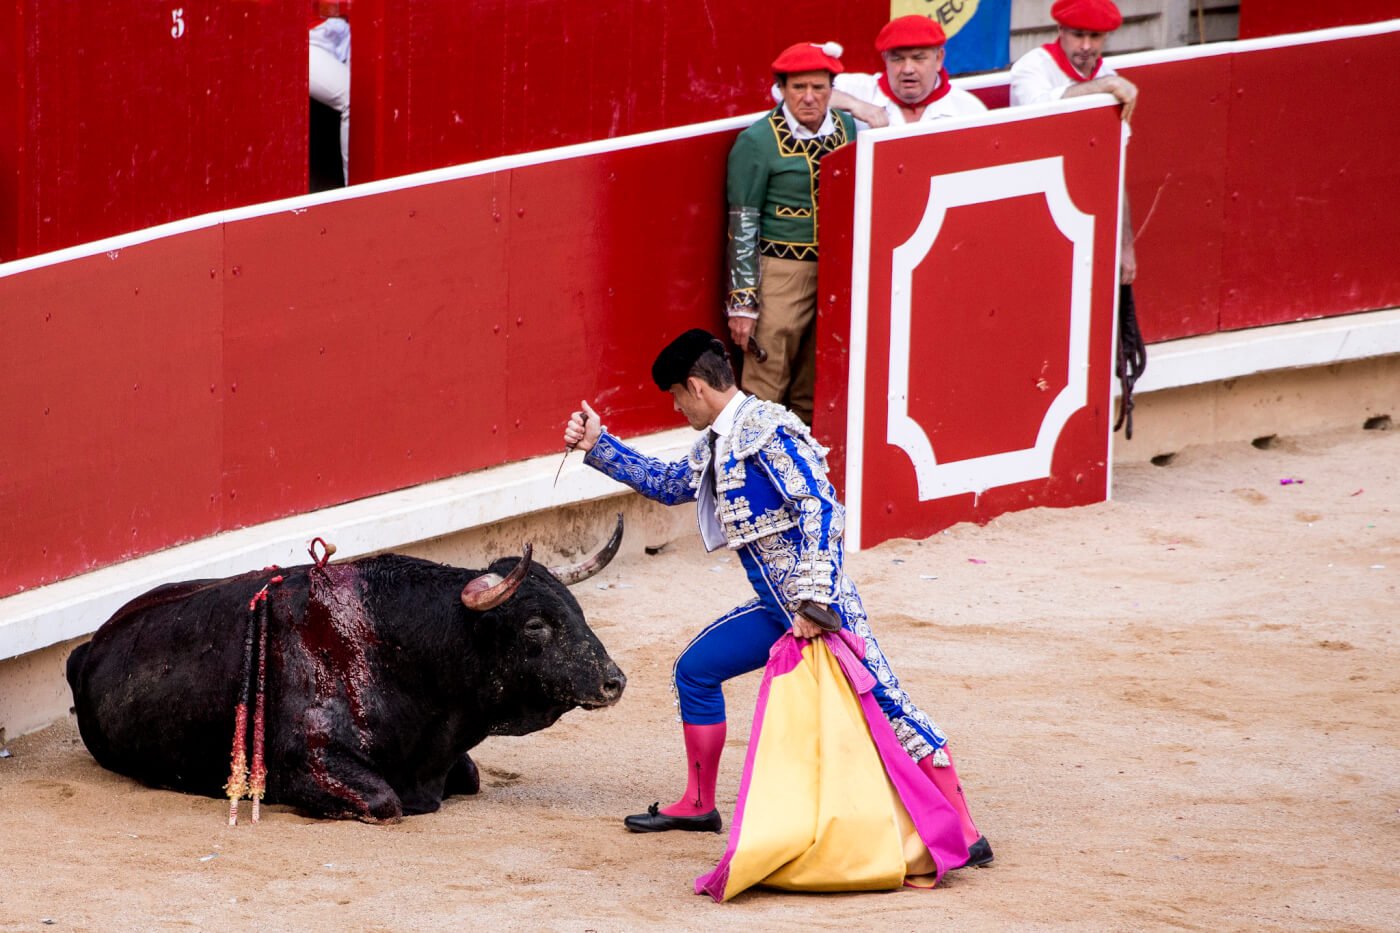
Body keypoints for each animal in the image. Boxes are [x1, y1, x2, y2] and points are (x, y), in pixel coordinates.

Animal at [68, 515, 627, 823]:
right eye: (535, 625)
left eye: (576, 610)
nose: (614, 681)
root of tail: (87, 649)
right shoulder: (311, 761)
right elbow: (384, 802)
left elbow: (469, 776)